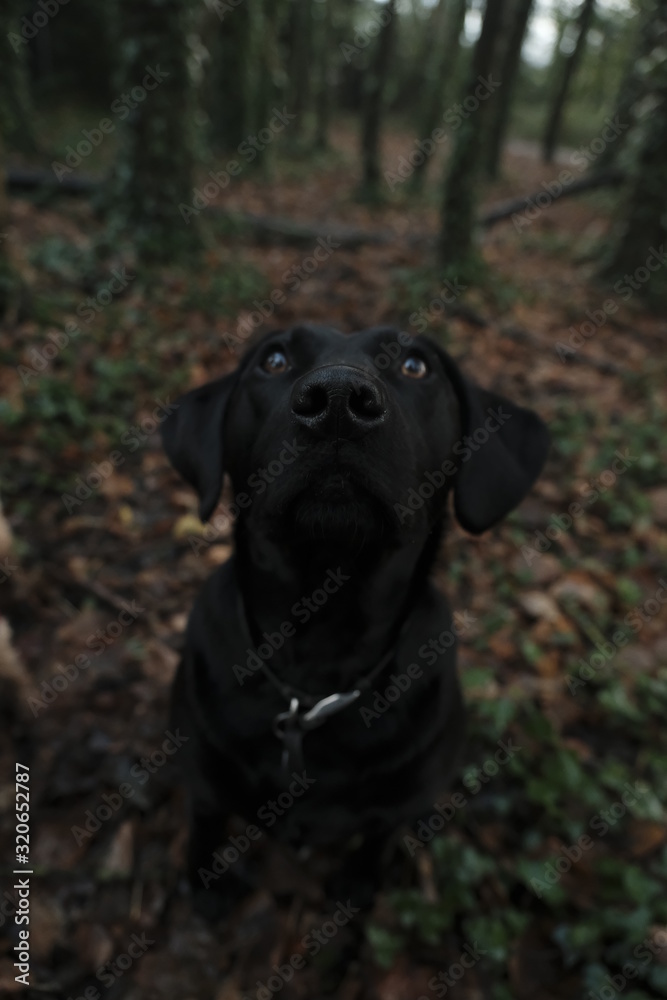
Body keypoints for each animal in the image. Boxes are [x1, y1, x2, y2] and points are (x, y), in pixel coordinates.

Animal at [159, 324, 552, 916]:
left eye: (415, 365)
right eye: (274, 359)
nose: (339, 401)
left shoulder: (403, 801)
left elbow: (378, 837)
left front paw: (359, 886)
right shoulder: (204, 774)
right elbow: (205, 821)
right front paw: (204, 884)